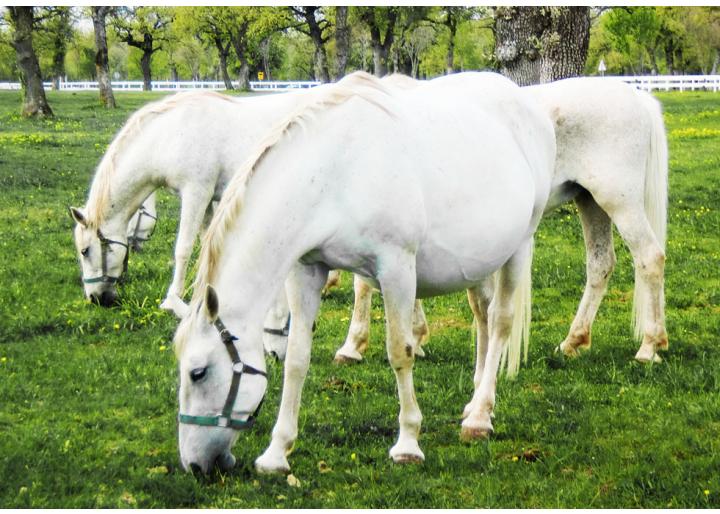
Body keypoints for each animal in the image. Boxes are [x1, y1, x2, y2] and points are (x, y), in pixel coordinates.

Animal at [172, 71, 556, 472]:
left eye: (198, 372)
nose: (195, 465)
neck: (335, 172)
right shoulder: (307, 270)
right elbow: (297, 359)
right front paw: (277, 452)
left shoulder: (397, 270)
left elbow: (400, 352)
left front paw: (408, 442)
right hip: (480, 261)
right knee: (482, 315)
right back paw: (475, 397)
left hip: (519, 247)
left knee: (500, 321)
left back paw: (480, 415)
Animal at [324, 75, 668, 364]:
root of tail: (638, 97)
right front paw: (416, 335)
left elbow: (363, 285)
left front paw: (352, 345)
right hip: (591, 202)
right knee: (600, 265)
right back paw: (574, 340)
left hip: (619, 202)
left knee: (650, 258)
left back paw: (649, 346)